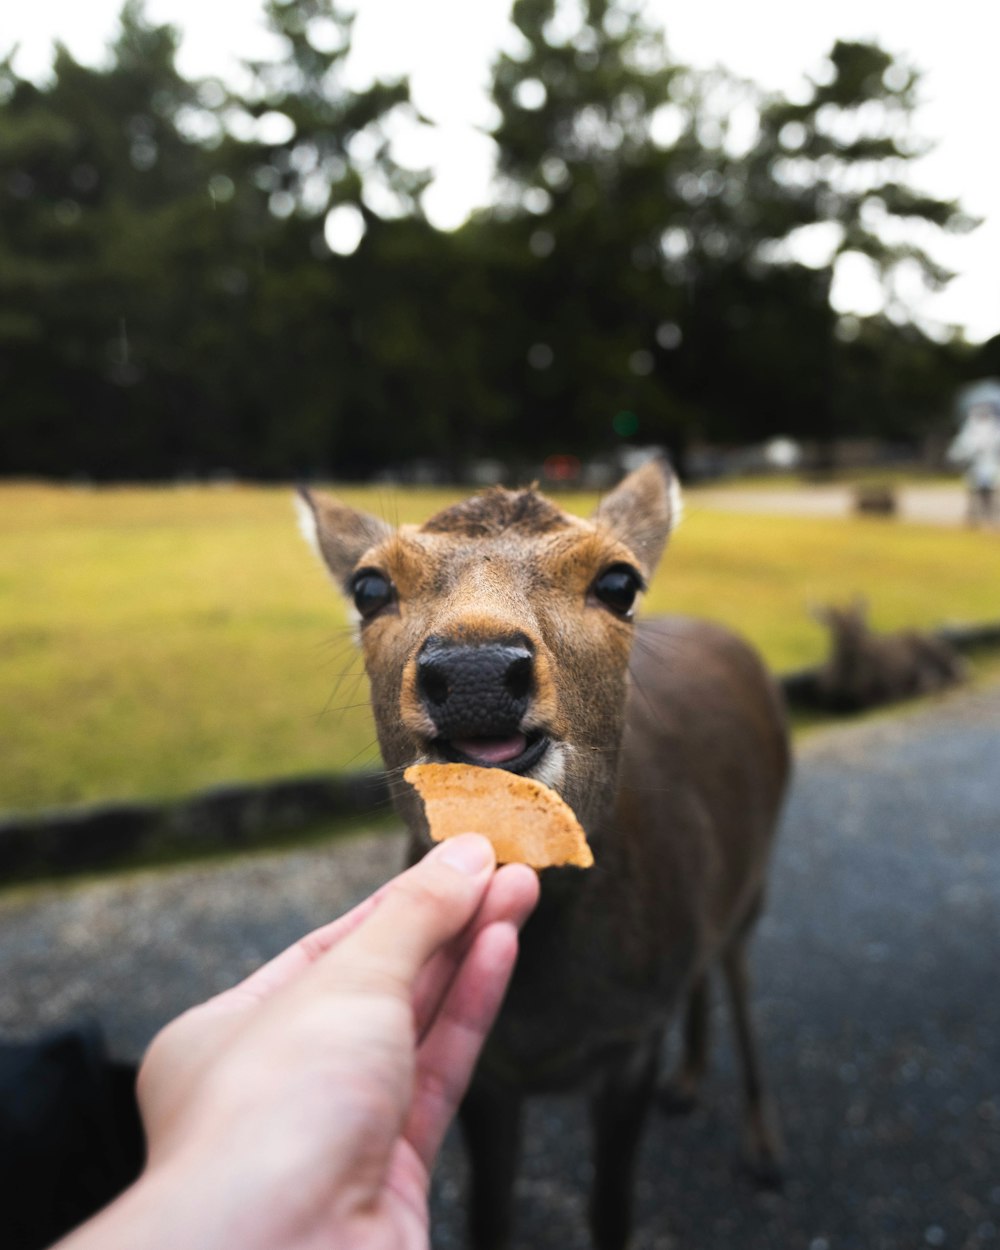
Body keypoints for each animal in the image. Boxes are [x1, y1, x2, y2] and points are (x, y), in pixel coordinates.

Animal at [295, 460, 790, 1250]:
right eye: (369, 587)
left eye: (619, 581)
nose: (474, 669)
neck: (549, 1021)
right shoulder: (487, 1070)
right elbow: (489, 1214)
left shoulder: (629, 1041)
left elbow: (611, 1207)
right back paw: (687, 1084)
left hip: (759, 872)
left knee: (738, 974)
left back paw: (764, 1147)